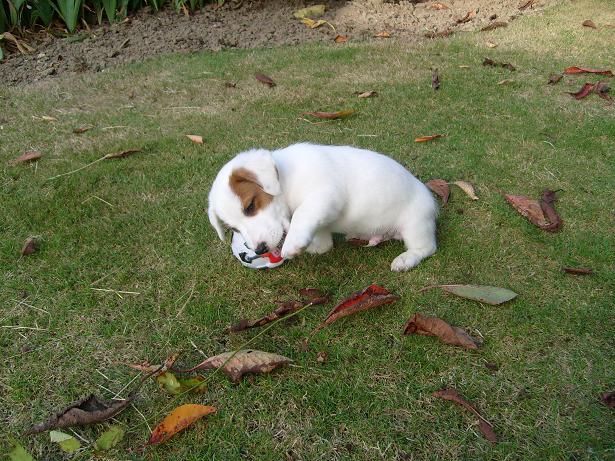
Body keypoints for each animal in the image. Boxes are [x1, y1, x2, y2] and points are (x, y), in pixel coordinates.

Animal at [207, 143, 437, 271]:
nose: (259, 250)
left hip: (415, 224)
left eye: (250, 206)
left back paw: (406, 259)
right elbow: (321, 243)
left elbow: (302, 214)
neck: (287, 179)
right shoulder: (321, 225)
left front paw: (292, 243)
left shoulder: (325, 194)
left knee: (426, 248)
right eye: (233, 229)